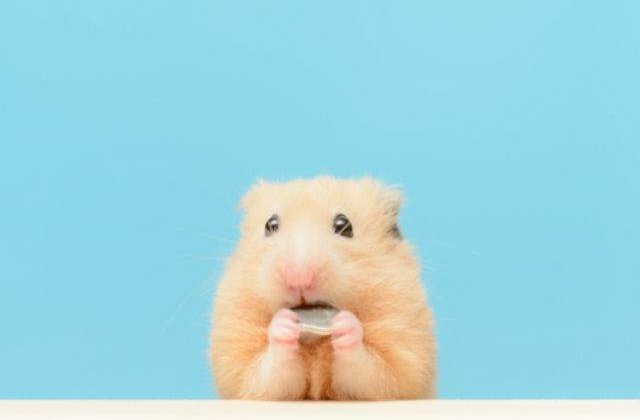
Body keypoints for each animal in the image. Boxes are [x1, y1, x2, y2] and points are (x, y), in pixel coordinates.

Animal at [210, 176, 436, 400]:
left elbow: (370, 370)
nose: (299, 278)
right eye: (270, 225)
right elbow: (266, 374)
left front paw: (345, 324)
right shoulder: (238, 363)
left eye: (344, 224)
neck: (313, 340)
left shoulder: (402, 359)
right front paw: (283, 322)